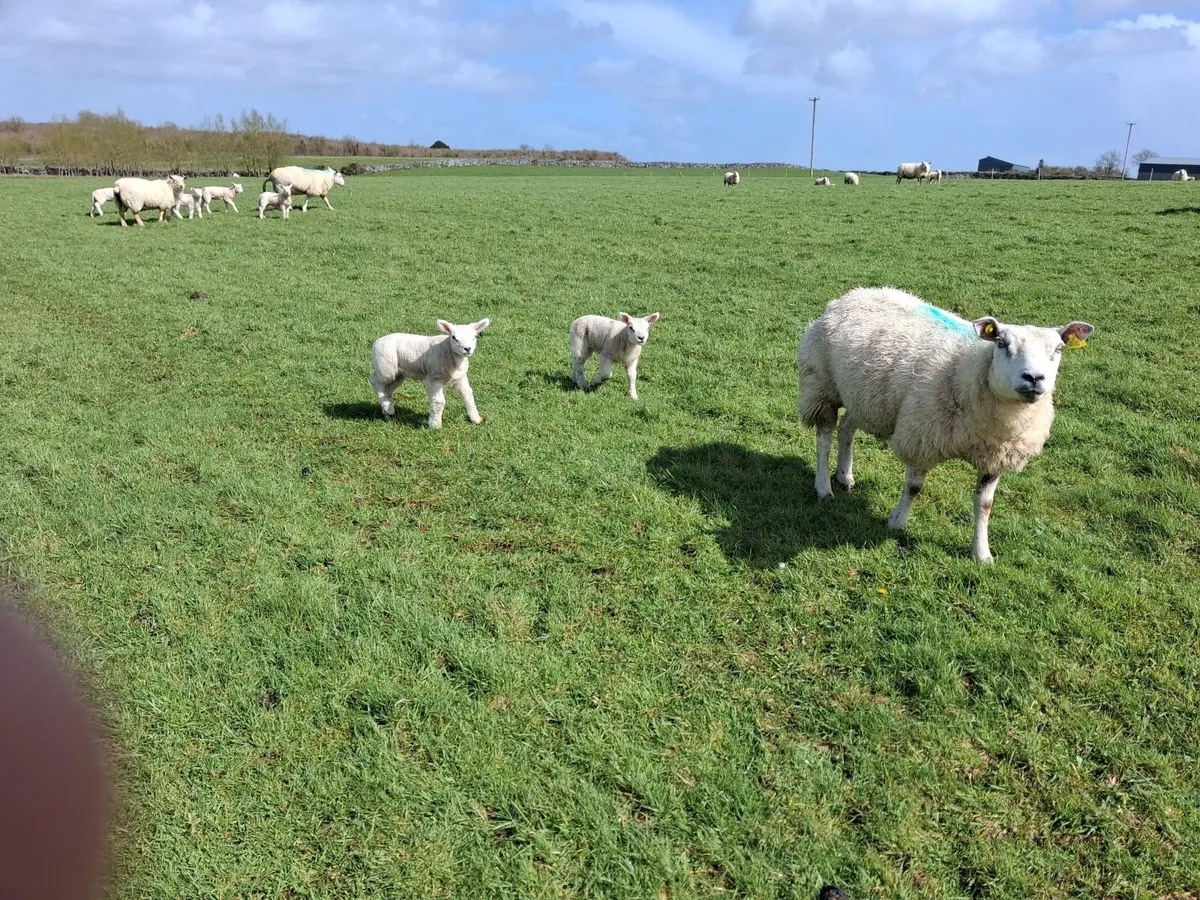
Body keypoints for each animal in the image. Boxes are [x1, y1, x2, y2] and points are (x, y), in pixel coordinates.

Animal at [797, 286, 1094, 563]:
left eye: (1058, 349)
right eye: (1001, 343)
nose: (1033, 378)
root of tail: (855, 294)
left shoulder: (995, 455)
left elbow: (985, 504)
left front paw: (982, 553)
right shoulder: (921, 437)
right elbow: (914, 488)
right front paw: (897, 522)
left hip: (862, 396)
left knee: (846, 428)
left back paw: (845, 476)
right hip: (822, 385)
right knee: (825, 435)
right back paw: (824, 487)